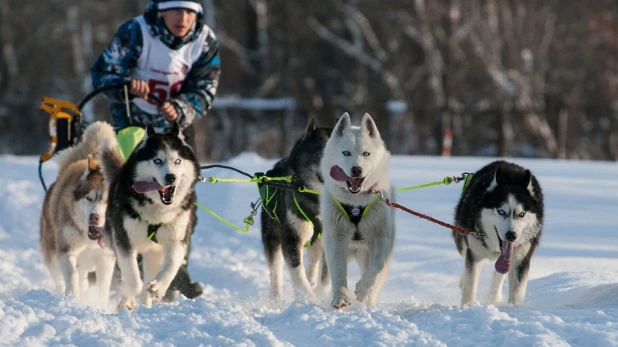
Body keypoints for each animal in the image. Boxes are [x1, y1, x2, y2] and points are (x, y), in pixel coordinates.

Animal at [39, 121, 116, 308]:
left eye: (107, 201)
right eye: (89, 198)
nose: (94, 217)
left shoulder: (106, 257)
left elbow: (103, 286)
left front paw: (100, 304)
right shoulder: (66, 249)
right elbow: (71, 275)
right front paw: (73, 296)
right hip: (52, 252)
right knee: (61, 277)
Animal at [100, 123, 197, 310]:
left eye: (178, 161)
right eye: (157, 161)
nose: (171, 177)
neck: (157, 209)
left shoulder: (178, 240)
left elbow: (171, 266)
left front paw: (159, 287)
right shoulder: (123, 241)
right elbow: (133, 280)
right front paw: (127, 295)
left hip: (154, 253)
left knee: (148, 279)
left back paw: (147, 302)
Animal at [258, 117, 330, 302]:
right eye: (319, 154)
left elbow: (326, 276)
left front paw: (321, 295)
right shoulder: (291, 238)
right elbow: (297, 271)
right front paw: (307, 297)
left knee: (313, 264)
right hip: (272, 238)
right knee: (276, 273)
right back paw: (276, 300)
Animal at [318, 113, 394, 308]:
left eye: (366, 154)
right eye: (346, 153)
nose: (356, 169)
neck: (356, 203)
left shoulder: (380, 237)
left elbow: (377, 265)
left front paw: (362, 289)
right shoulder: (335, 239)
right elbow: (338, 271)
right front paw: (341, 297)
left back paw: (369, 302)